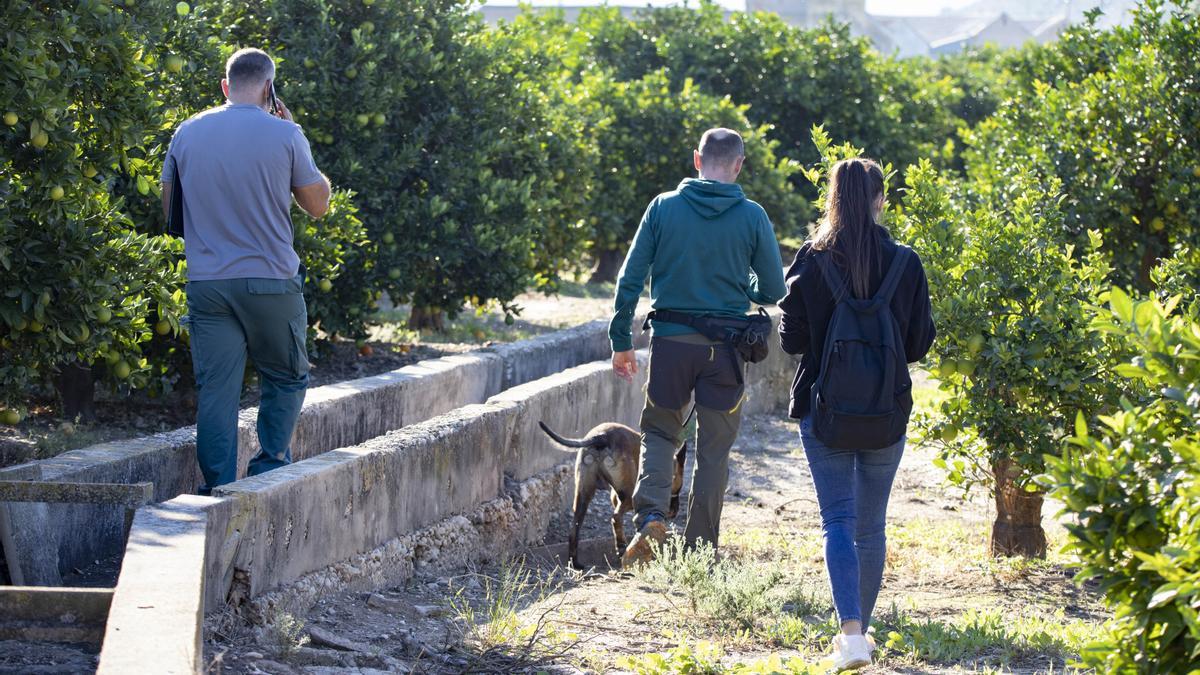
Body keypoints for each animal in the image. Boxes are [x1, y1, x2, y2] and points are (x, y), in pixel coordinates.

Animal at [537, 420, 686, 566]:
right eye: (678, 488)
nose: (674, 511)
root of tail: (601, 437)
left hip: (583, 495)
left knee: (574, 530)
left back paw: (575, 562)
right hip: (629, 495)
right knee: (616, 517)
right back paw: (621, 547)